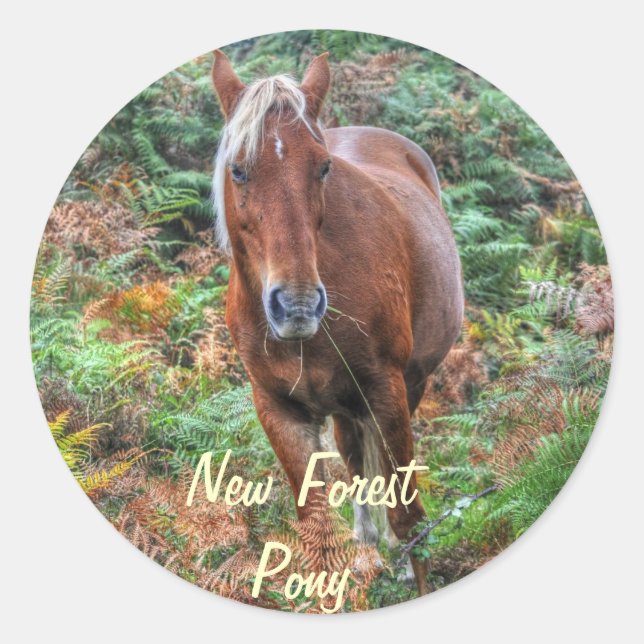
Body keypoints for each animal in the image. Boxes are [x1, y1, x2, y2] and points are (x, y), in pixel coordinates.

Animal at [210, 49, 464, 596]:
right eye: (238, 170)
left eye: (324, 167)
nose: (298, 306)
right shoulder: (280, 411)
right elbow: (316, 528)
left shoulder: (387, 391)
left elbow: (409, 515)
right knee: (353, 458)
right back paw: (367, 550)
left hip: (408, 386)